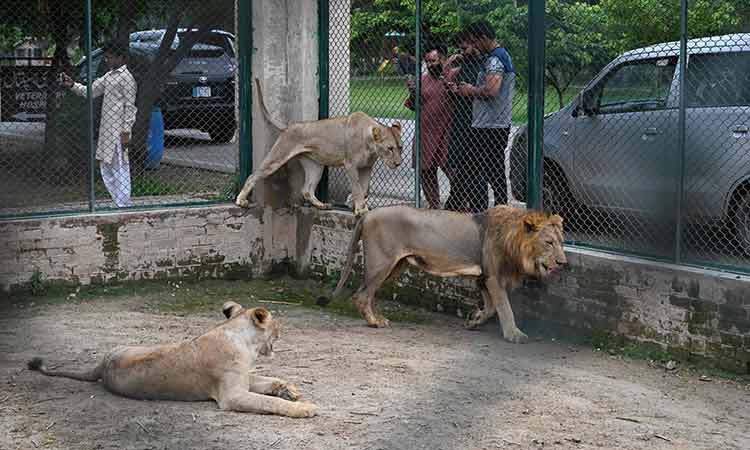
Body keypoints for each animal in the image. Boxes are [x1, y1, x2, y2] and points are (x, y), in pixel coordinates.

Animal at [27, 302, 318, 418]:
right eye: (276, 324)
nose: (282, 330)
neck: (246, 344)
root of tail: (103, 364)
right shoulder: (231, 395)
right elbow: (269, 403)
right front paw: (304, 408)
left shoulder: (244, 378)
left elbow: (267, 380)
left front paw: (289, 389)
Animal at [320, 206, 568, 342]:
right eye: (549, 242)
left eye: (561, 242)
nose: (563, 262)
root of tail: (367, 214)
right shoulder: (493, 277)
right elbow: (505, 308)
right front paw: (514, 335)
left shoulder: (483, 278)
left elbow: (489, 308)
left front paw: (473, 321)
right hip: (382, 263)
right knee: (361, 295)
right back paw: (375, 322)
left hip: (396, 266)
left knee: (368, 294)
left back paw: (378, 318)